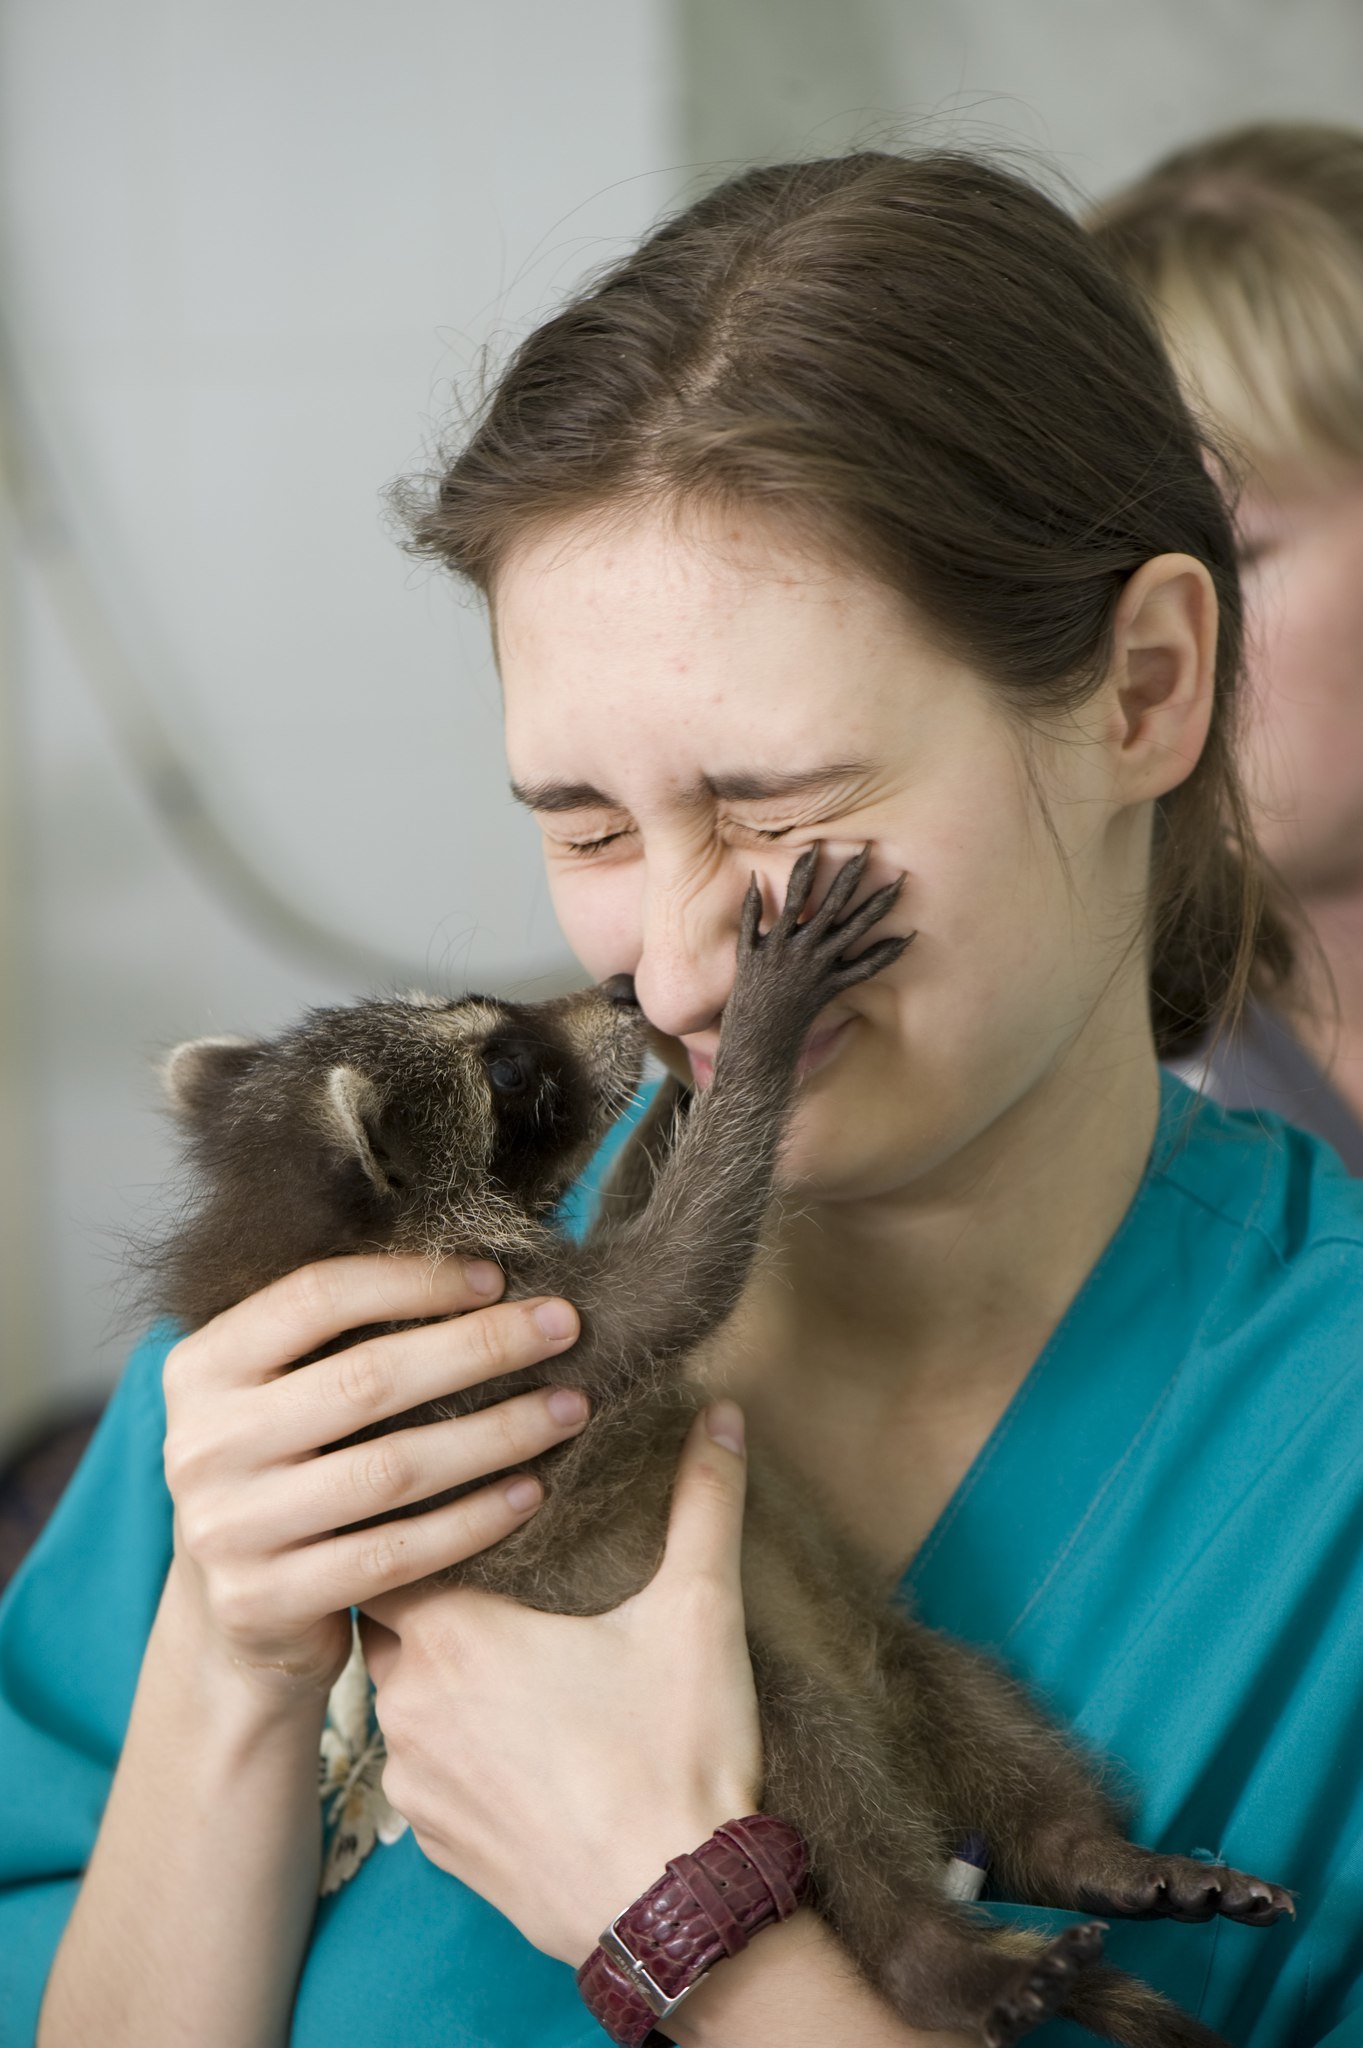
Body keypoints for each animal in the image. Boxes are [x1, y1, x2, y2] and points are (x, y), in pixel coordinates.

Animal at [153, 851, 1293, 2048]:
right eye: (504, 1068)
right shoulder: (491, 1354)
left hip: (904, 1654)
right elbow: (681, 1271)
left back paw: (1078, 1848)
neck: (300, 1244)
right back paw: (932, 1955)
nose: (624, 990)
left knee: (988, 1718)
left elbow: (647, 1219)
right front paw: (752, 1036)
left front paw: (688, 1081)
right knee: (830, 1797)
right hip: (769, 1701)